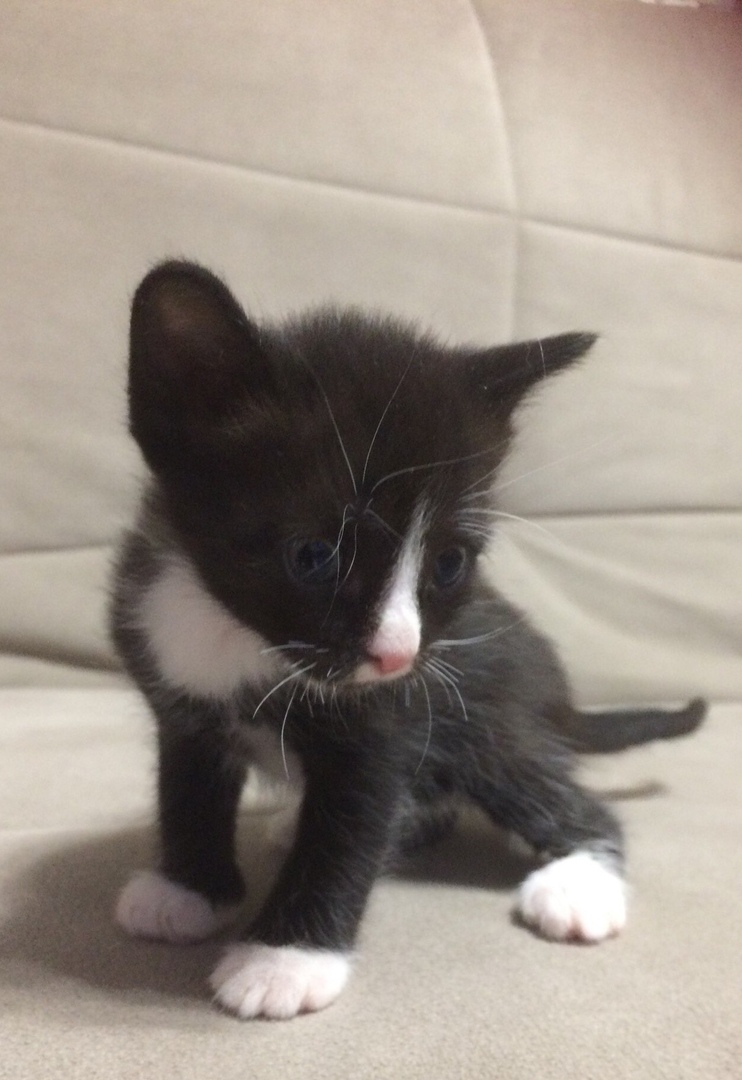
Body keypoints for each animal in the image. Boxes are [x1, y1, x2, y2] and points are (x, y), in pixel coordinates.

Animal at [110, 260, 705, 1020]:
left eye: (448, 563)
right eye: (314, 556)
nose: (396, 654)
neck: (244, 643)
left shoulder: (385, 726)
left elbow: (351, 828)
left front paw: (285, 959)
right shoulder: (176, 695)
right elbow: (186, 788)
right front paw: (186, 889)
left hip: (489, 723)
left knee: (564, 799)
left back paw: (578, 886)